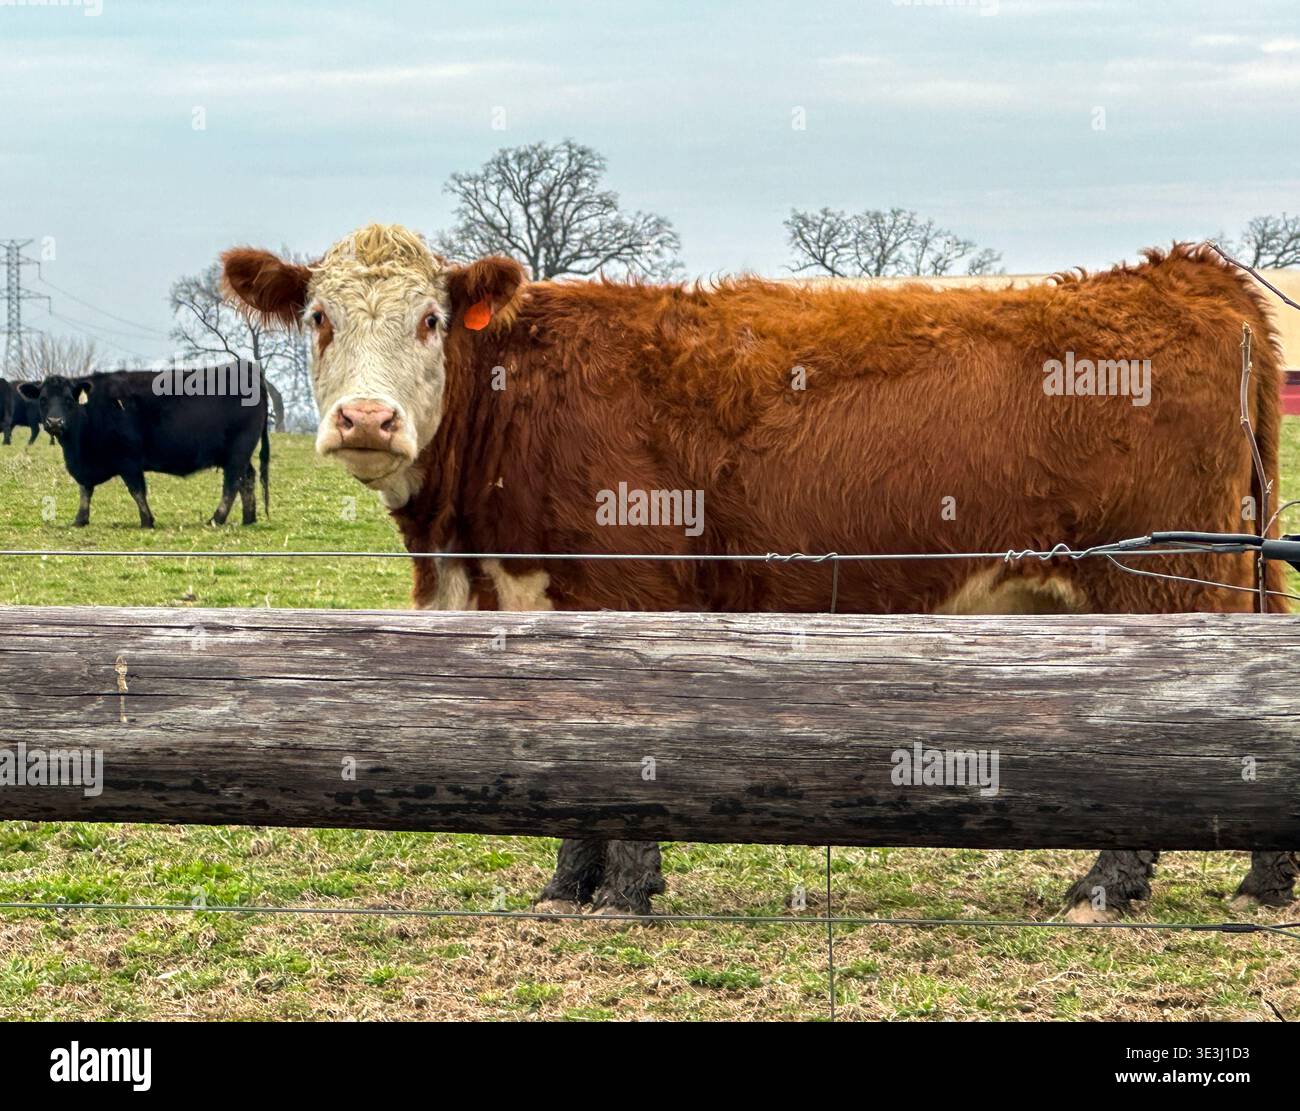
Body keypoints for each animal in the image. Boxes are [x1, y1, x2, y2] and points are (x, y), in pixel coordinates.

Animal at [18, 364, 270, 528]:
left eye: (68, 400)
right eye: (43, 400)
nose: (54, 422)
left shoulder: (128, 460)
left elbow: (137, 490)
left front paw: (147, 520)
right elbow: (85, 490)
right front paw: (80, 519)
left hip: (238, 451)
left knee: (232, 483)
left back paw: (216, 519)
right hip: (240, 453)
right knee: (247, 479)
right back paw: (248, 518)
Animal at [222, 224, 1296, 921]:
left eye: (431, 321)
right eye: (317, 316)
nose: (366, 418)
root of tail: (1186, 277)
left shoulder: (631, 593)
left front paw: (623, 891)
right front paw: (566, 885)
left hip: (1164, 584)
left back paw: (1107, 889)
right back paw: (1263, 878)